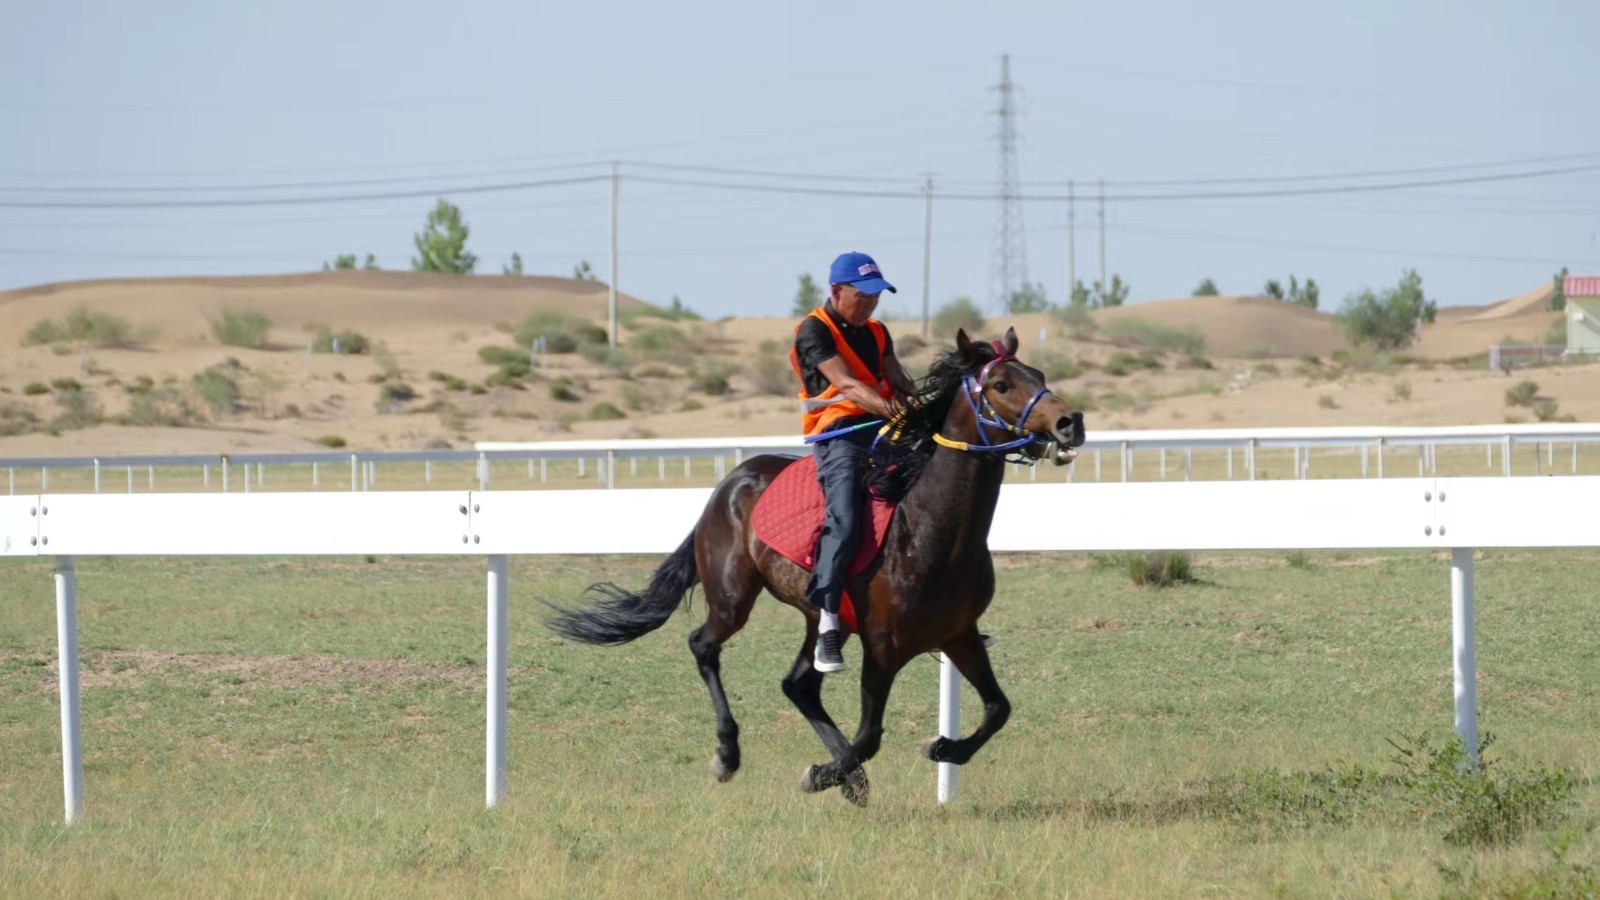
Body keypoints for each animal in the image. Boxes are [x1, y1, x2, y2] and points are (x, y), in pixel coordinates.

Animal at [547, 325, 1088, 800]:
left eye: (1039, 374)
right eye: (1001, 384)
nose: (1071, 422)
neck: (930, 531)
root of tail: (735, 478)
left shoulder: (959, 633)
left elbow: (998, 708)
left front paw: (941, 747)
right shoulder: (883, 646)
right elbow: (870, 736)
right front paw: (825, 773)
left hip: (823, 618)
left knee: (799, 685)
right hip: (732, 597)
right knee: (704, 645)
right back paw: (729, 754)